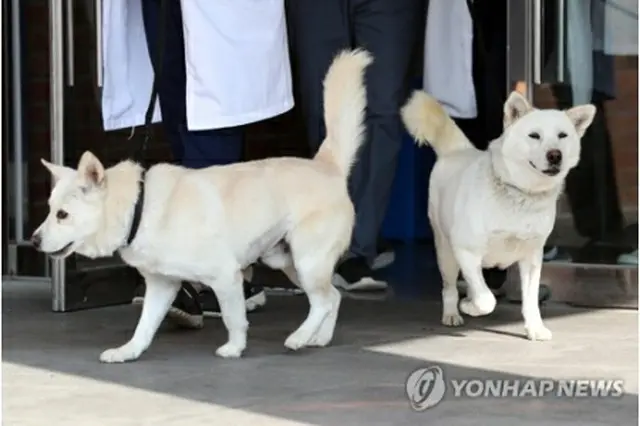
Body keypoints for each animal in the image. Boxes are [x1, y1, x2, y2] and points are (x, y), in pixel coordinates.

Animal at [33, 50, 376, 362]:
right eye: (49, 210)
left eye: (62, 215)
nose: (34, 241)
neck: (140, 208)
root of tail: (327, 165)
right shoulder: (161, 286)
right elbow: (145, 326)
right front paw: (128, 351)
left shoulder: (226, 277)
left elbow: (234, 318)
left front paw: (234, 348)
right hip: (288, 262)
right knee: (332, 297)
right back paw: (319, 338)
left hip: (307, 260)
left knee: (322, 301)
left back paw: (300, 337)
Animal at [402, 89, 596, 340]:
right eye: (534, 136)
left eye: (562, 135)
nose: (555, 155)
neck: (521, 194)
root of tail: (459, 150)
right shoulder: (466, 251)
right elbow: (487, 300)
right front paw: (469, 306)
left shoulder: (532, 258)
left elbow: (530, 300)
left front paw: (535, 328)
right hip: (446, 252)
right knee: (450, 287)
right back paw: (452, 313)